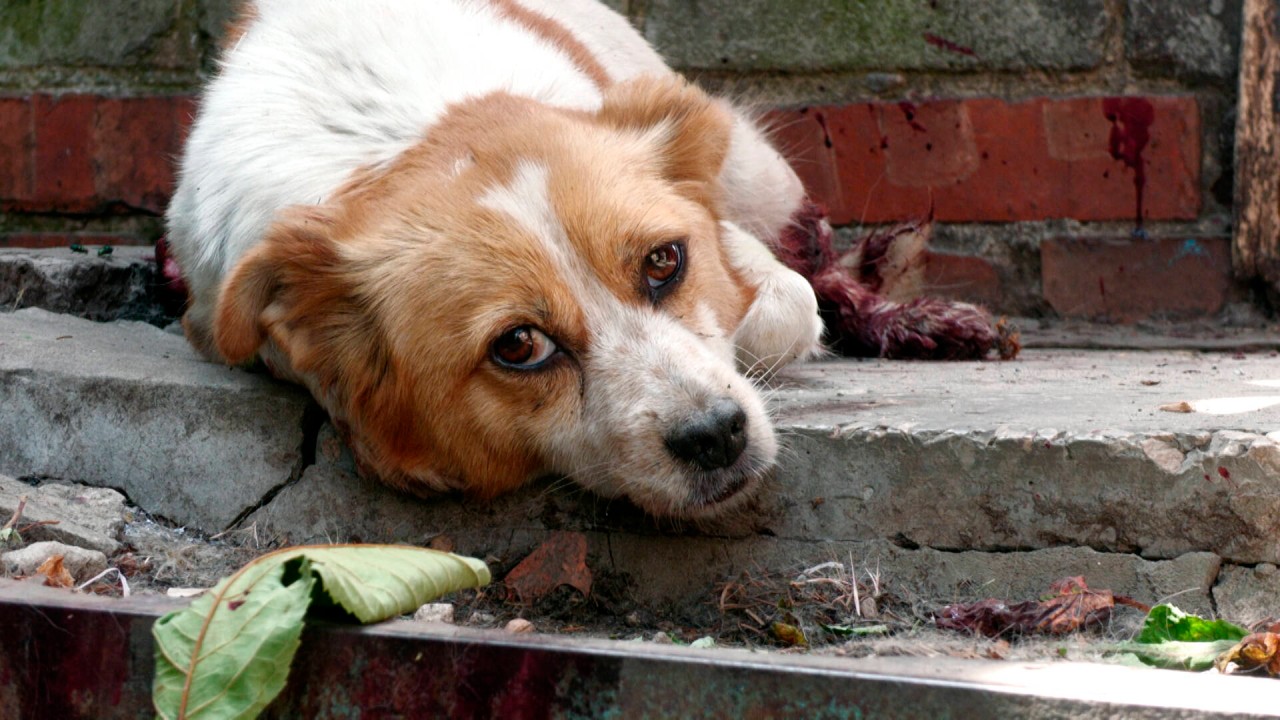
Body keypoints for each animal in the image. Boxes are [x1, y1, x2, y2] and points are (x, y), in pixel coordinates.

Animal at [165, 0, 824, 515]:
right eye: (519, 346)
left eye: (665, 261)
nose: (716, 435)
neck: (402, 137)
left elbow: (788, 303)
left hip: (761, 176)